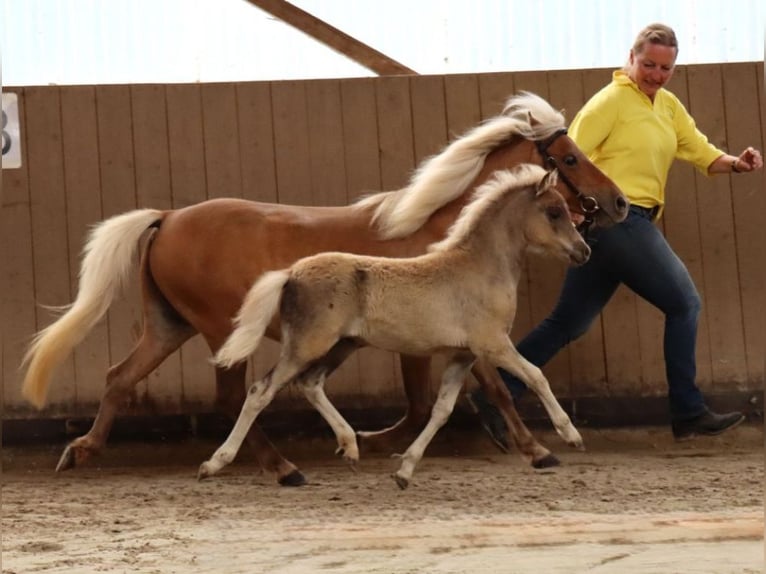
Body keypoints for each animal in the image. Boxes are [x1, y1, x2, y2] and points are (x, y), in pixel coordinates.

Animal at [199, 165, 589, 489]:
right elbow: (536, 375)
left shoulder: (462, 356)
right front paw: (570, 435)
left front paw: (404, 470)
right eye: (554, 212)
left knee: (310, 384)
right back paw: (220, 464)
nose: (583, 251)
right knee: (260, 392)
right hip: (307, 346)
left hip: (342, 346)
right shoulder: (492, 344)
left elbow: (442, 410)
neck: (479, 268)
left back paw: (350, 446)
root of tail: (290, 273)